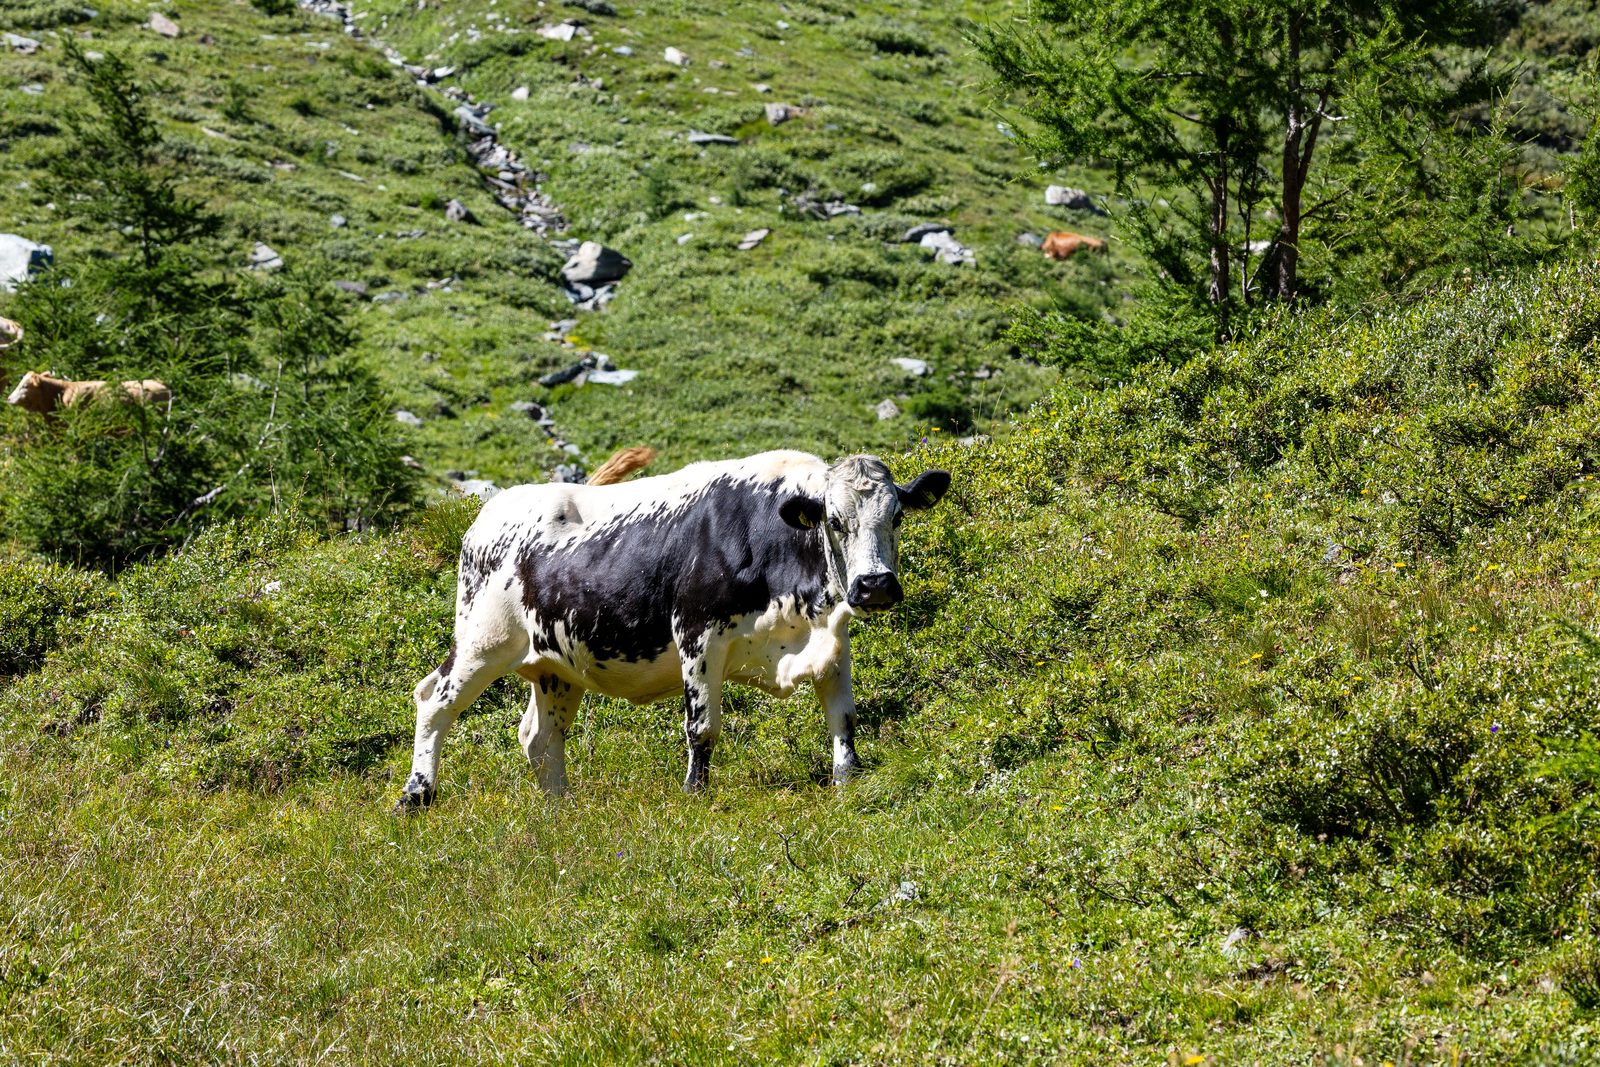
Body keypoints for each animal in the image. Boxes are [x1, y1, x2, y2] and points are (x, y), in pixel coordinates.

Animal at [396, 450, 951, 810]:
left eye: (897, 516)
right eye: (834, 521)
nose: (875, 585)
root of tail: (486, 516)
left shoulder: (831, 644)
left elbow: (844, 720)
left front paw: (847, 782)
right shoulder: (697, 635)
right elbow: (702, 727)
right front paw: (694, 795)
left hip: (555, 666)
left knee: (539, 735)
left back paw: (560, 807)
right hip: (481, 642)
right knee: (434, 700)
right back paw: (417, 795)